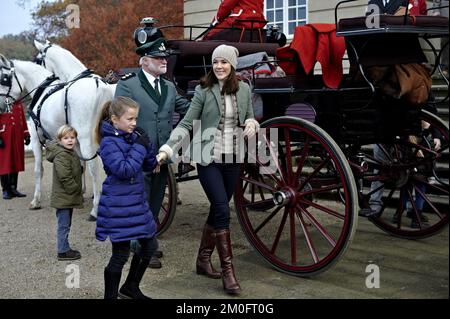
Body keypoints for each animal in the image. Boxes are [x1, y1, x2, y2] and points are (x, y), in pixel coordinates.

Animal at [0, 56, 111, 219]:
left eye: (4, 79)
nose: (1, 106)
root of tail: (100, 86)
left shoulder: (36, 139)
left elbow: (38, 170)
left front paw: (36, 201)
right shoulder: (74, 142)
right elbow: (78, 166)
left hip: (87, 140)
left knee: (94, 169)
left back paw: (96, 209)